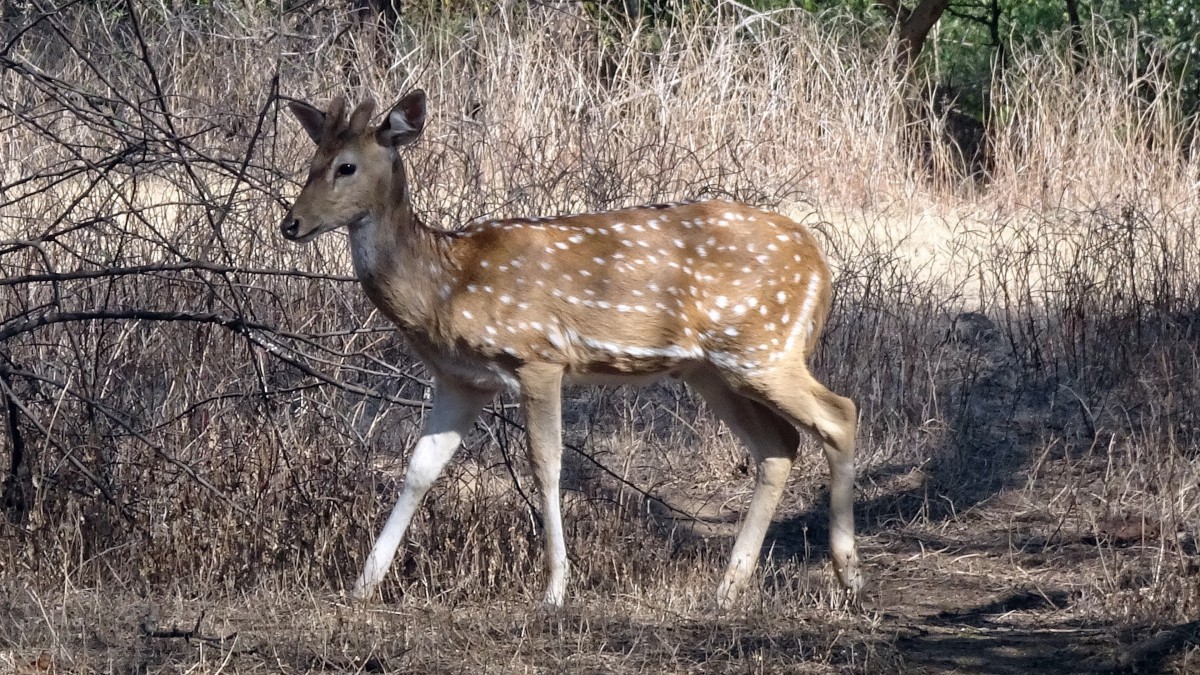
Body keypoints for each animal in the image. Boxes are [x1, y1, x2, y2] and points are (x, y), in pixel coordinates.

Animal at [280, 89, 864, 605]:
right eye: (312, 161)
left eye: (346, 167)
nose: (291, 223)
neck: (446, 285)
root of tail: (820, 265)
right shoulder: (462, 378)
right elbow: (420, 468)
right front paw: (362, 585)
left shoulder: (538, 356)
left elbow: (547, 465)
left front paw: (555, 590)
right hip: (710, 369)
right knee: (778, 444)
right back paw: (729, 587)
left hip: (762, 346)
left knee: (839, 413)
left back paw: (848, 573)